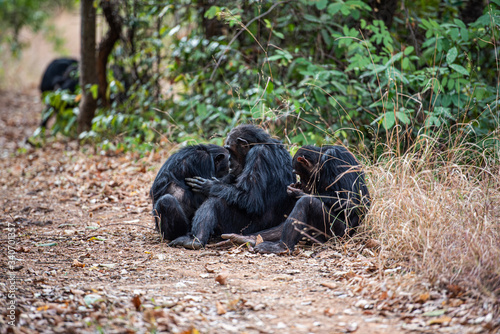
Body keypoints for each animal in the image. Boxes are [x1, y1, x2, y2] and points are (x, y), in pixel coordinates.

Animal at [223, 145, 372, 254]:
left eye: (299, 173)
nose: (302, 182)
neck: (322, 163)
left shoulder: (335, 159)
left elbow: (349, 199)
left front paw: (297, 192)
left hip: (338, 234)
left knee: (307, 203)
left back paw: (281, 247)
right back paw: (248, 239)